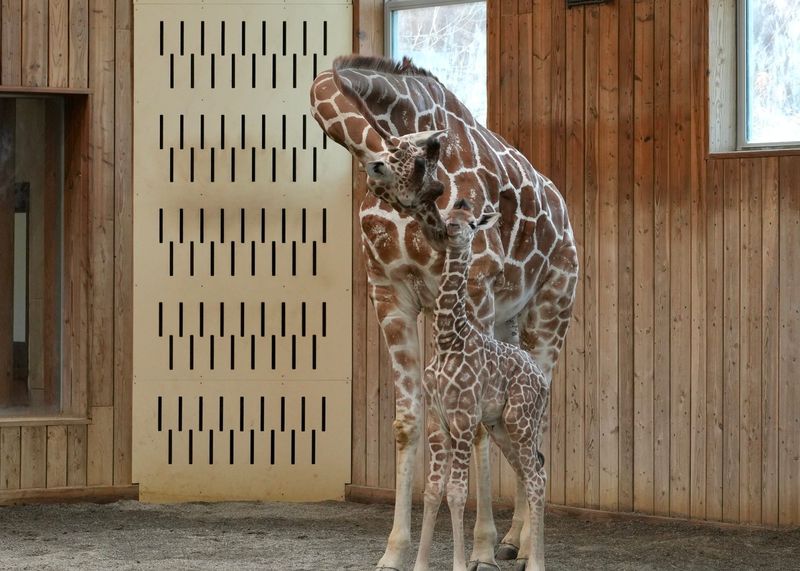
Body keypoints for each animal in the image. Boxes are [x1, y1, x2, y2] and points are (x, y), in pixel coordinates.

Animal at [414, 200, 549, 571]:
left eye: (472, 223)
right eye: (448, 216)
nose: (452, 230)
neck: (447, 339)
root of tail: (541, 379)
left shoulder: (462, 420)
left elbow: (457, 493)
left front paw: (462, 564)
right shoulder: (436, 421)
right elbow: (433, 491)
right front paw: (419, 564)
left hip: (521, 420)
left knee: (536, 479)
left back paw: (536, 563)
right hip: (500, 426)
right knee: (534, 472)